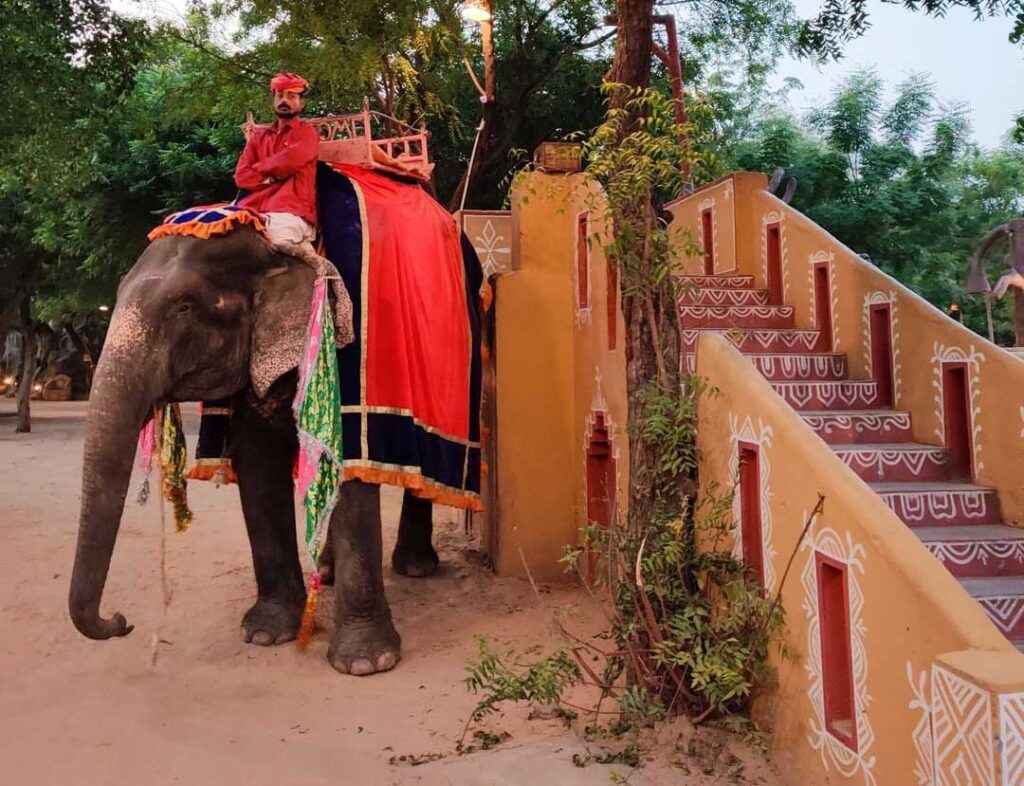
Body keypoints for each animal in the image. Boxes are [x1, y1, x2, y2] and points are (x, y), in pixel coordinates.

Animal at [68, 224, 461, 676]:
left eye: (183, 307)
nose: (121, 621)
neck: (273, 250)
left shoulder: (348, 348)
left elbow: (346, 467)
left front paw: (366, 663)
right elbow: (257, 465)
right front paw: (265, 635)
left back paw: (415, 568)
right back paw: (328, 571)